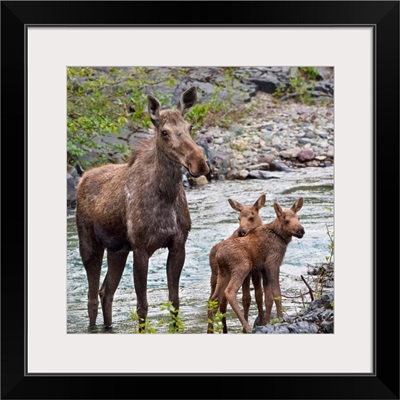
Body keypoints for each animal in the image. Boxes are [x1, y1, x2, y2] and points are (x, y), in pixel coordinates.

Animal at [76, 86, 211, 330]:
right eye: (164, 132)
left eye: (189, 127)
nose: (200, 163)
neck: (166, 195)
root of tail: (83, 177)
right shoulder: (141, 248)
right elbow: (142, 307)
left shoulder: (178, 245)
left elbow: (174, 302)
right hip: (89, 245)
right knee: (91, 297)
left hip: (117, 250)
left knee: (105, 292)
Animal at [211, 198, 304, 332]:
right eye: (286, 221)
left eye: (298, 218)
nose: (301, 231)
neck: (281, 238)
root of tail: (219, 255)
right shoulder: (272, 264)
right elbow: (277, 293)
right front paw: (280, 318)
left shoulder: (263, 269)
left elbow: (268, 297)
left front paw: (266, 321)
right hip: (242, 267)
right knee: (229, 292)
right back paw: (247, 327)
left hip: (223, 273)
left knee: (214, 299)